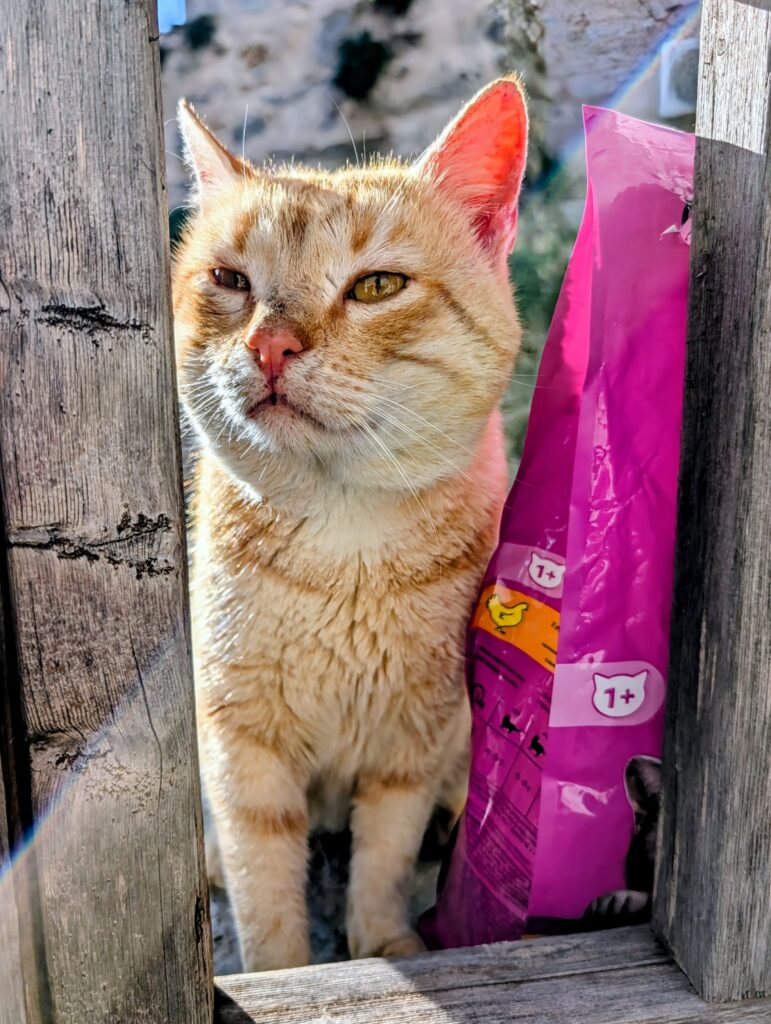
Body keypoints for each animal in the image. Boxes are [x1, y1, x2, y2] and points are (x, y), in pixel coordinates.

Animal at [173, 76, 528, 971]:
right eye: (231, 280)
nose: (270, 347)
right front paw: (281, 977)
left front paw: (383, 942)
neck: (343, 540)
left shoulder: (414, 736)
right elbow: (264, 891)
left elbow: (385, 856)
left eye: (375, 287)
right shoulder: (240, 744)